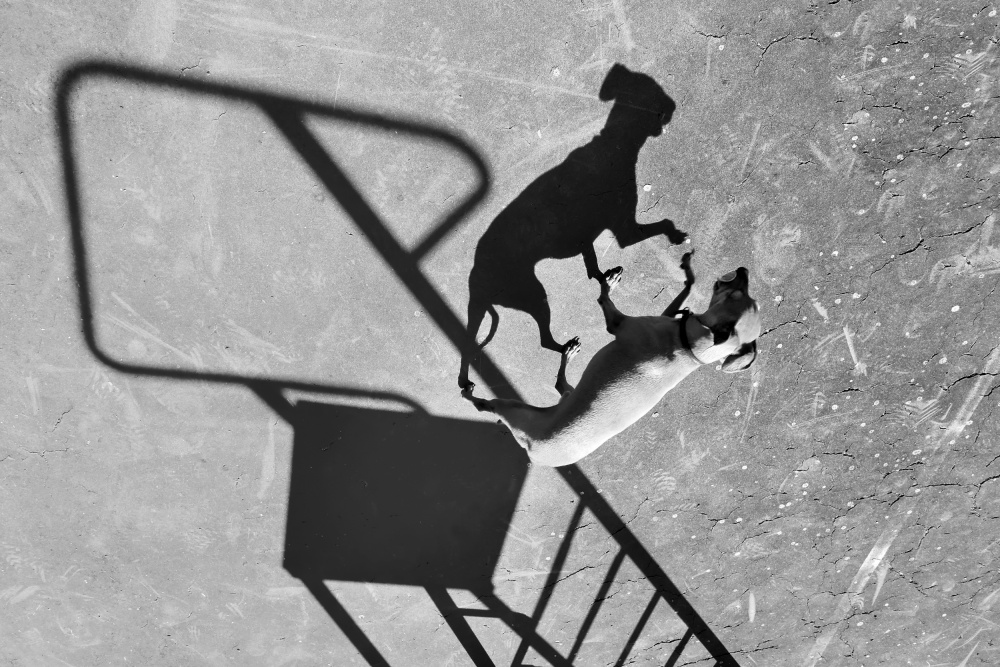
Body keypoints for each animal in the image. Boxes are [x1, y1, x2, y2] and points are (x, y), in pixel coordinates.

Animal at [459, 63, 686, 388]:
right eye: (655, 94)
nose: (673, 107)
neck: (613, 143)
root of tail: (477, 281)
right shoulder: (625, 230)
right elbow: (659, 226)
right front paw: (675, 235)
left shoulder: (587, 240)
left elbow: (593, 267)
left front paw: (605, 278)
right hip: (534, 294)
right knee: (543, 340)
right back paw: (567, 350)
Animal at [461, 253, 761, 467]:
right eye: (747, 298)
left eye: (737, 294)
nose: (744, 271)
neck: (689, 350)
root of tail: (534, 455)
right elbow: (684, 291)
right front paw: (688, 270)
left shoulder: (618, 324)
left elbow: (604, 298)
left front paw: (608, 283)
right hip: (560, 400)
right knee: (562, 388)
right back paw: (568, 355)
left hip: (514, 409)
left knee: (485, 405)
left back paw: (473, 393)